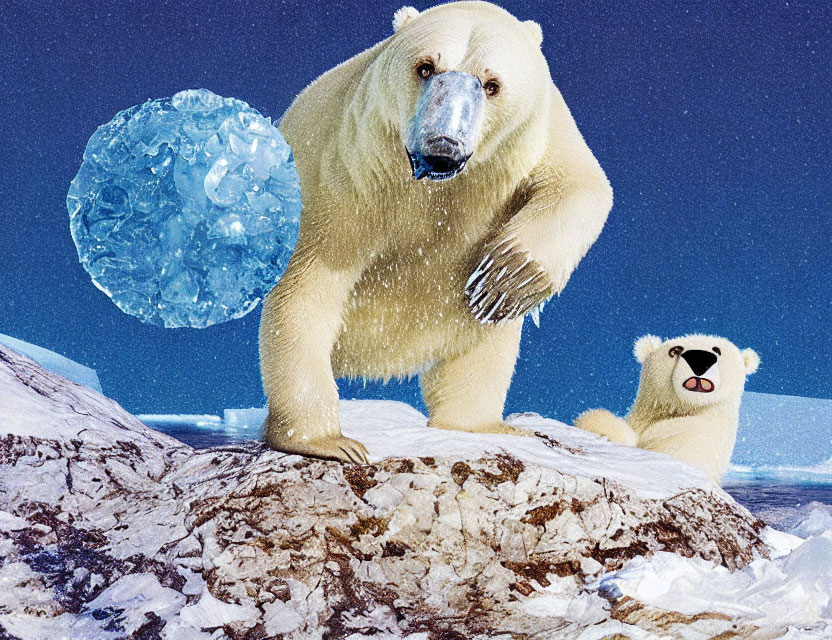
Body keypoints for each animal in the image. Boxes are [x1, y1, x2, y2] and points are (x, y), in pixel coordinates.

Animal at [258, 0, 612, 462]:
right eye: (426, 67)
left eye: (492, 84)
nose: (443, 146)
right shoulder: (351, 167)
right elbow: (311, 279)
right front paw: (330, 442)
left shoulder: (536, 134)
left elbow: (580, 185)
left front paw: (509, 274)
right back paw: (322, 439)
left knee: (483, 345)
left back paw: (480, 424)